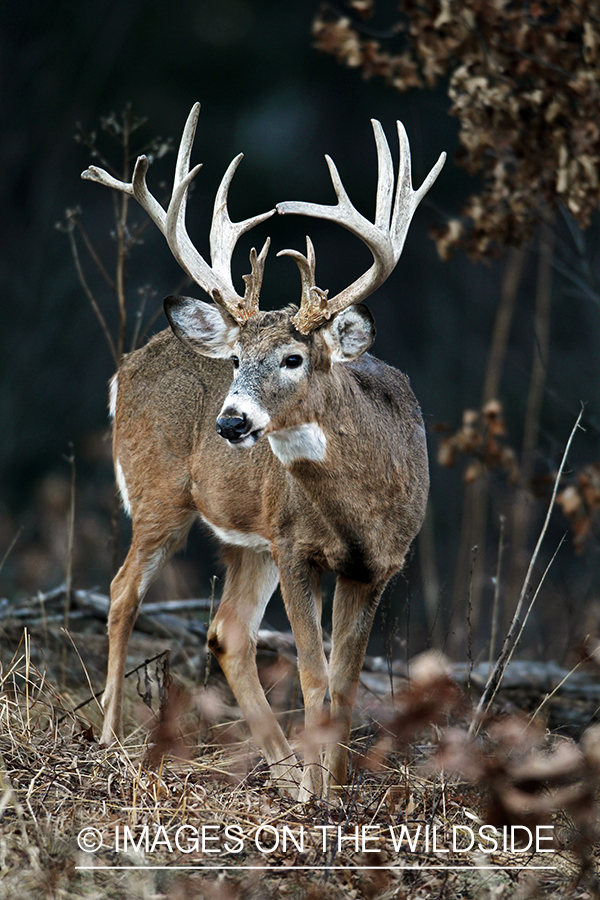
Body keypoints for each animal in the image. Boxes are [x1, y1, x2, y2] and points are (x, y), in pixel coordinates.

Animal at [81, 102, 446, 800]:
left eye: (294, 357)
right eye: (234, 360)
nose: (231, 421)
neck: (359, 511)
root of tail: (125, 368)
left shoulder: (379, 565)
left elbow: (345, 683)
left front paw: (332, 792)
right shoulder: (295, 543)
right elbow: (313, 677)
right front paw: (318, 797)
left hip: (247, 536)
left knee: (228, 632)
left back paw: (280, 770)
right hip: (162, 497)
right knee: (121, 593)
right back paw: (111, 740)